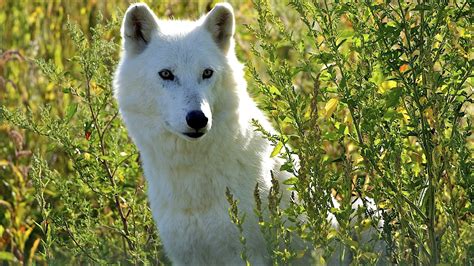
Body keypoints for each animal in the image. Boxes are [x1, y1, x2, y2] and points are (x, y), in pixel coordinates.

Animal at [114, 2, 386, 266]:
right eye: (166, 74)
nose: (198, 119)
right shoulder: (185, 256)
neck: (192, 179)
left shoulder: (246, 254)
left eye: (207, 73)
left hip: (369, 212)